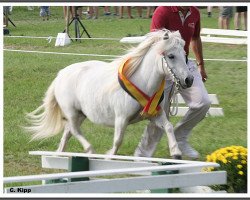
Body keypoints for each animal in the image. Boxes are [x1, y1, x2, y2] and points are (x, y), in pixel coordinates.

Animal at [25, 28, 193, 159]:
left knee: (68, 131)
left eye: (184, 53)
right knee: (74, 130)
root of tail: (60, 75)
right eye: (171, 56)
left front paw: (176, 153)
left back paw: (59, 153)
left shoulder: (155, 115)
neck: (141, 82)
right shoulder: (121, 118)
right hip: (71, 112)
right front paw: (109, 156)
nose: (189, 80)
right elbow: (118, 140)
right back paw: (90, 151)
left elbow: (168, 126)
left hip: (80, 114)